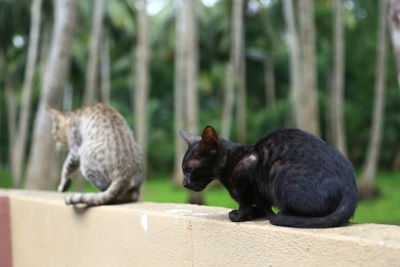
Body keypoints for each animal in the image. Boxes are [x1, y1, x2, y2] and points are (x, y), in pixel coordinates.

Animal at [180, 125, 358, 228]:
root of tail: (351, 189)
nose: (184, 183)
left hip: (279, 172)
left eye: (189, 170)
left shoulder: (249, 166)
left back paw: (285, 214)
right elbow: (258, 203)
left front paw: (239, 216)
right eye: (184, 170)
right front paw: (257, 211)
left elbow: (244, 203)